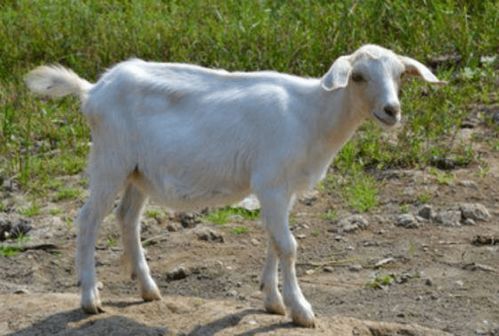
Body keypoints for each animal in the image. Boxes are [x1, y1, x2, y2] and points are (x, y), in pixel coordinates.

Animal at [25, 44, 446, 326]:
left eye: (398, 75)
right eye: (358, 76)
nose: (392, 111)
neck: (312, 116)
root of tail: (91, 90)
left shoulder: (282, 188)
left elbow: (275, 242)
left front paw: (273, 301)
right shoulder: (271, 183)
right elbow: (289, 246)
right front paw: (301, 310)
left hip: (138, 172)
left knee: (127, 218)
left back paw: (148, 289)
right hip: (109, 160)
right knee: (87, 219)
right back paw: (89, 298)